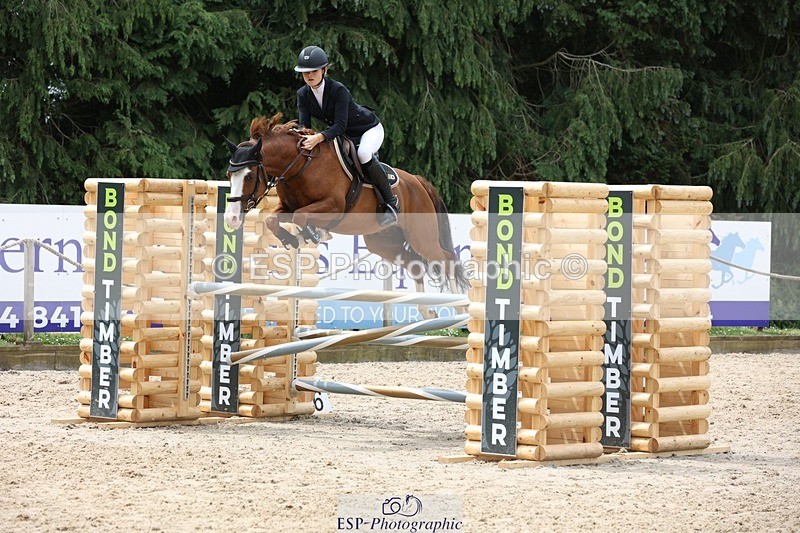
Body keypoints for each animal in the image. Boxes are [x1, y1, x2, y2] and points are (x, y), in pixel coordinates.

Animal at [222, 114, 470, 300]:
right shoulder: (287, 208)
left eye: (250, 176)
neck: (301, 166)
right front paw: (292, 238)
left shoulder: (332, 207)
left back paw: (456, 308)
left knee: (446, 259)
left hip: (421, 237)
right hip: (383, 242)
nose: (231, 219)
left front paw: (315, 234)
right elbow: (274, 220)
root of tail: (419, 182)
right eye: (229, 175)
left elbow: (302, 217)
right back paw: (428, 312)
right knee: (415, 265)